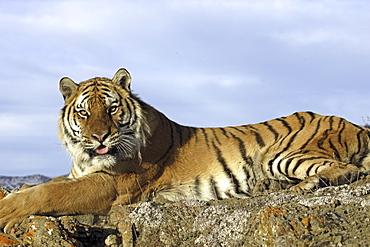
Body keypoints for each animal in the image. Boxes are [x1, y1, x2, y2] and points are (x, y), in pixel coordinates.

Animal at [0, 68, 370, 233]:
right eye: (84, 112)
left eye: (112, 108)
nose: (100, 136)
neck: (86, 157)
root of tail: (355, 124)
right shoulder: (82, 173)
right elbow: (45, 184)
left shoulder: (112, 185)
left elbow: (48, 193)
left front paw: (7, 209)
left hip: (280, 155)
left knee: (349, 170)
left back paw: (304, 185)